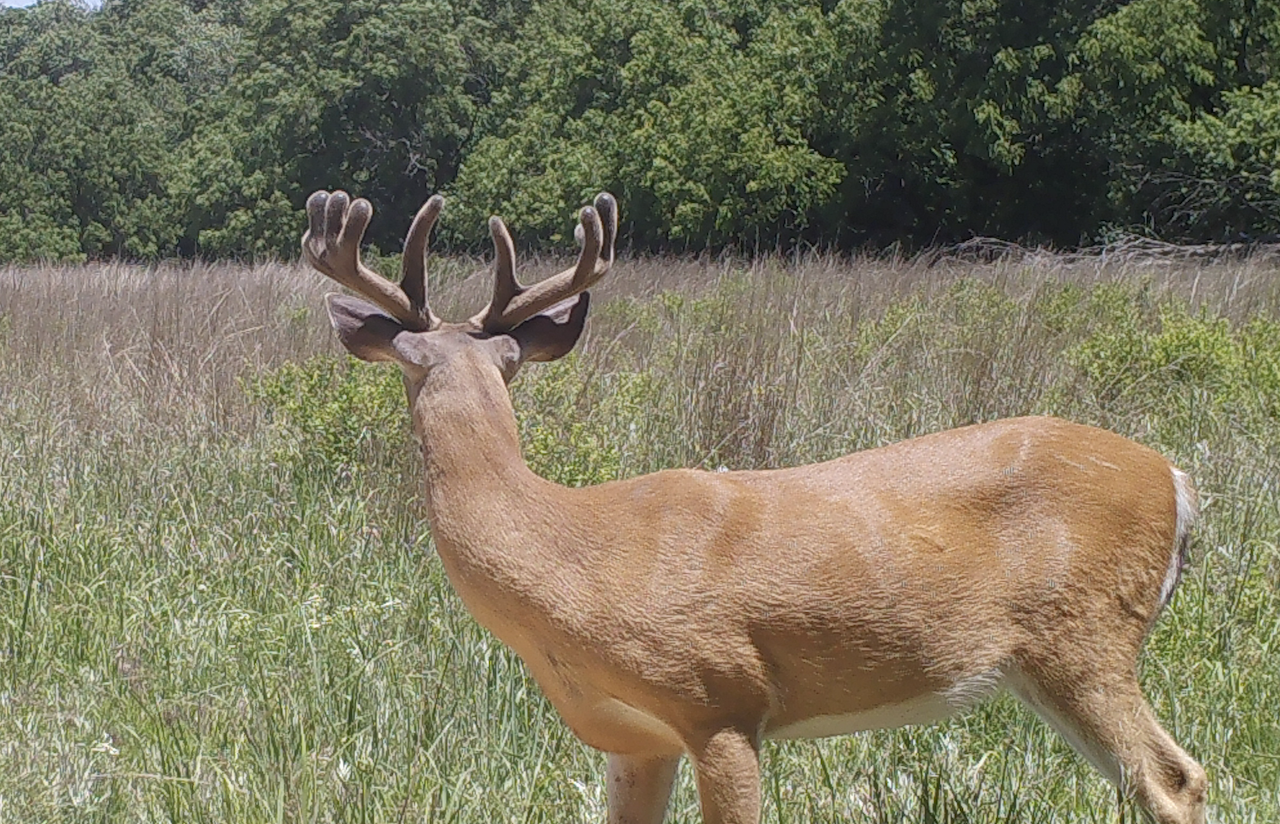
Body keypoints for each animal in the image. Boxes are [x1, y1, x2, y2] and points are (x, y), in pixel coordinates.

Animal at [299, 189, 1207, 824]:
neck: (573, 555)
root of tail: (1174, 478)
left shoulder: (721, 700)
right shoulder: (633, 735)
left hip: (1086, 636)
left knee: (1174, 779)